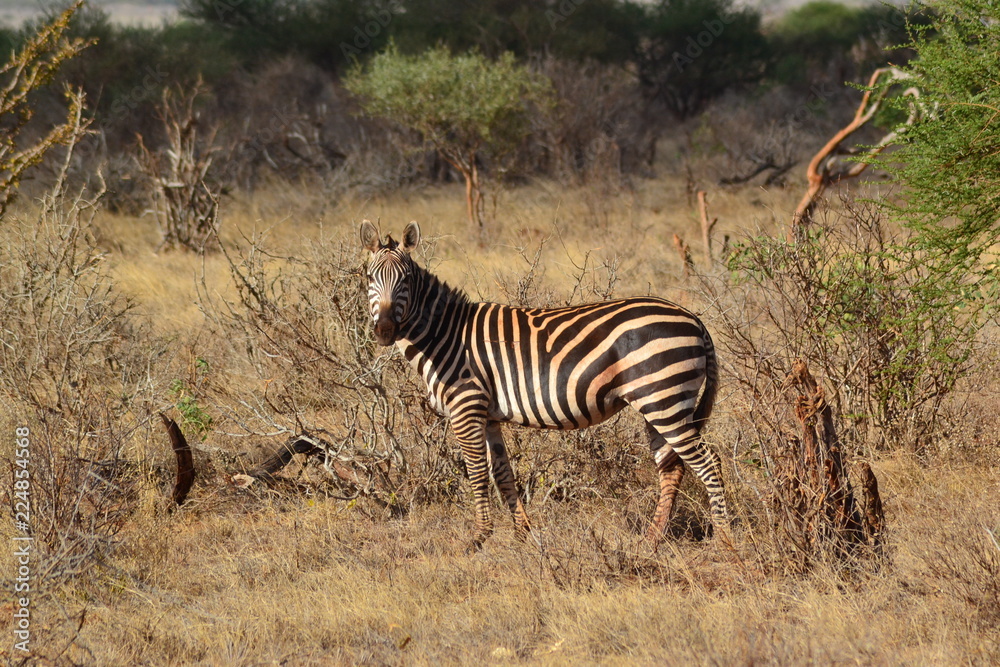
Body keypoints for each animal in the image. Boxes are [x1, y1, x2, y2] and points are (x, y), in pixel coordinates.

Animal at [361, 220, 727, 548]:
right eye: (368, 277)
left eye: (407, 279)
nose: (385, 331)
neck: (446, 335)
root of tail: (693, 317)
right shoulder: (489, 415)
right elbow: (503, 474)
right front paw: (522, 535)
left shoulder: (466, 407)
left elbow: (477, 473)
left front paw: (479, 538)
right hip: (660, 403)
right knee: (672, 468)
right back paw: (653, 539)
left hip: (664, 399)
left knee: (708, 463)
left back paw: (724, 539)